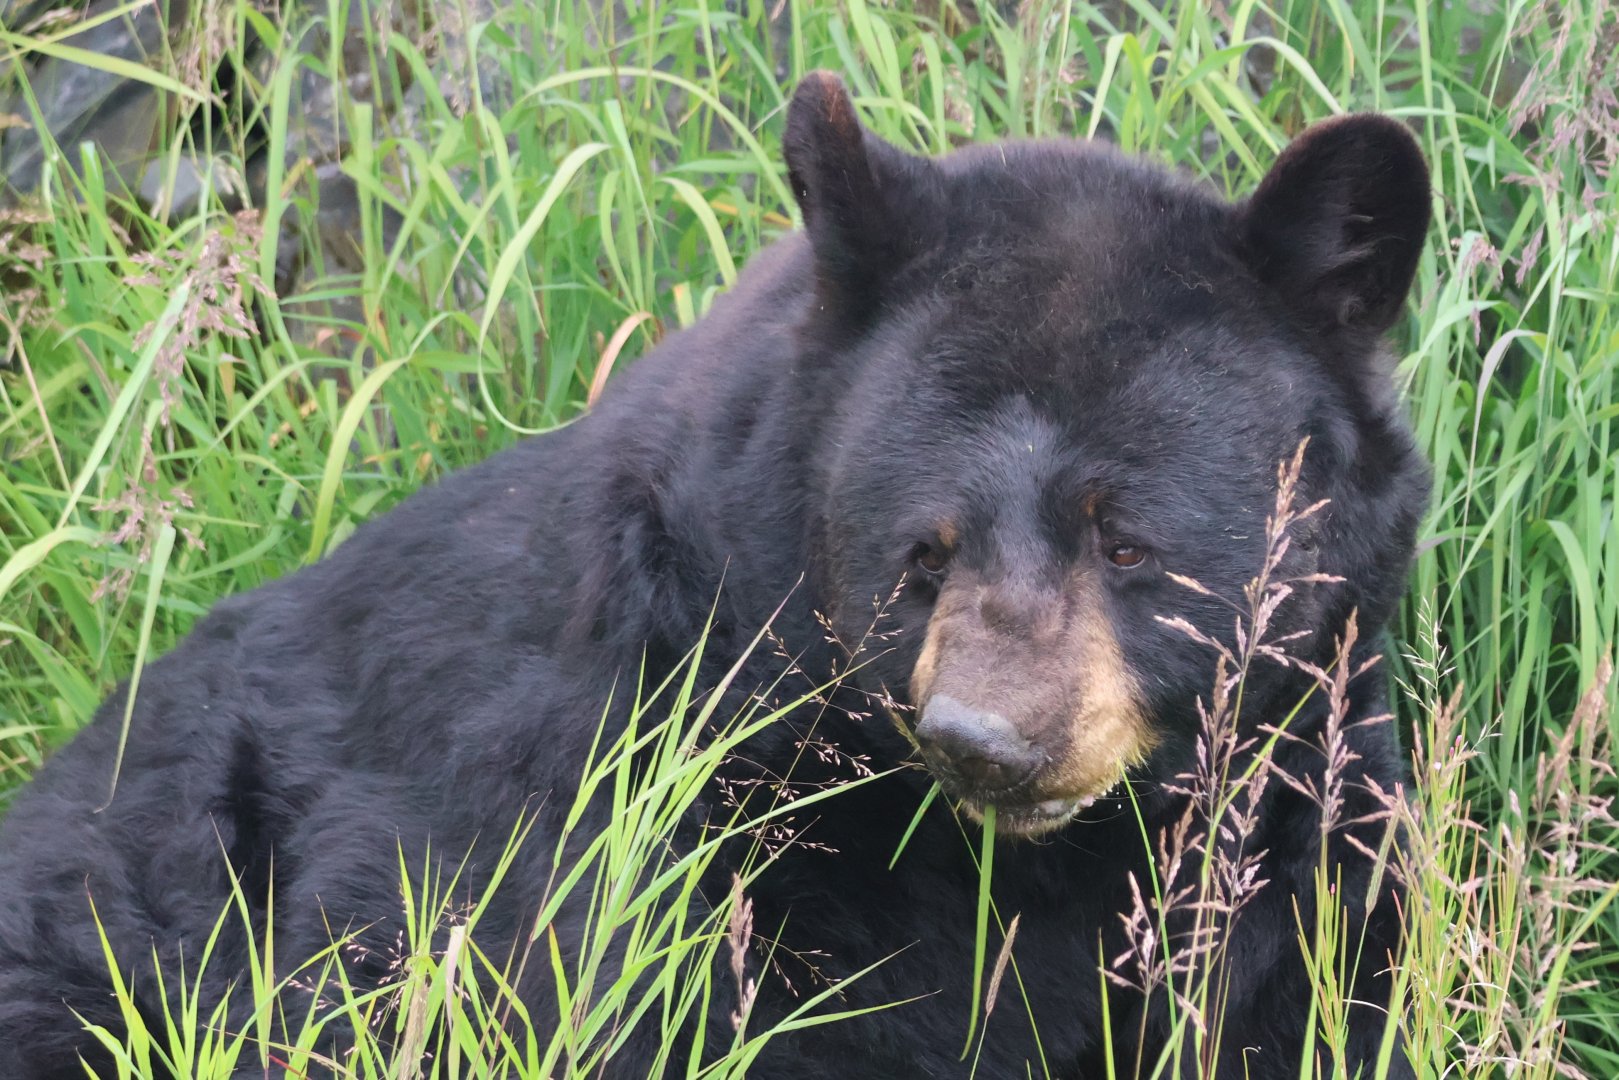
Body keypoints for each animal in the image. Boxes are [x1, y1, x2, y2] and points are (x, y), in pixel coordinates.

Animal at [0, 71, 1430, 1079]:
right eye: (922, 551)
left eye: (1125, 541)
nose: (986, 741)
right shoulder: (640, 794)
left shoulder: (1301, 775)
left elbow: (1313, 975)